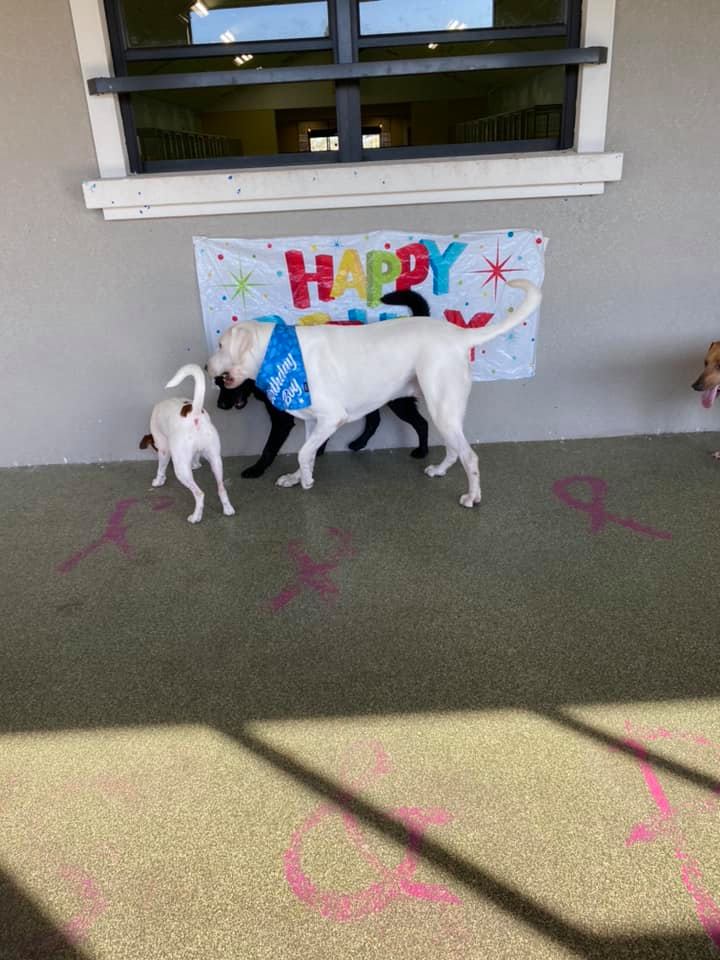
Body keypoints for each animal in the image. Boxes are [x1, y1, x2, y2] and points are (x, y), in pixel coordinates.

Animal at [140, 363, 235, 523]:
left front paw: (159, 480)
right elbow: (196, 459)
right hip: (216, 460)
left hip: (181, 469)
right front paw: (196, 465)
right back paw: (228, 509)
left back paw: (196, 517)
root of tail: (194, 414)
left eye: (154, 447)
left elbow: (161, 467)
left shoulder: (164, 449)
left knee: (199, 494)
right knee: (221, 488)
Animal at [213, 295, 430, 478]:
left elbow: (269, 448)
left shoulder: (283, 421)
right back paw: (360, 443)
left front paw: (257, 469)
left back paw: (422, 451)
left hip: (397, 401)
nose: (219, 406)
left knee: (421, 423)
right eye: (216, 382)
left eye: (224, 378)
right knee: (374, 419)